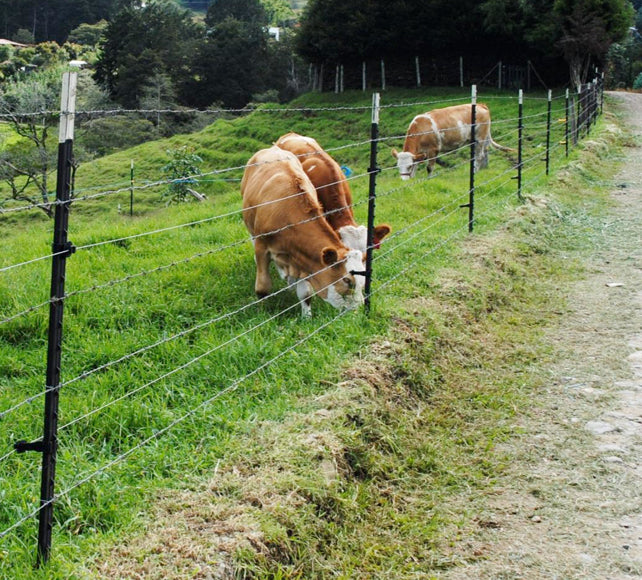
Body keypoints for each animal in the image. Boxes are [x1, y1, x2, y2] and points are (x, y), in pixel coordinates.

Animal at [239, 145, 362, 318]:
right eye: (347, 281)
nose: (359, 309)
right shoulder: (262, 246)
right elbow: (263, 288)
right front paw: (262, 313)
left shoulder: (301, 256)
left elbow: (305, 293)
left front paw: (307, 317)